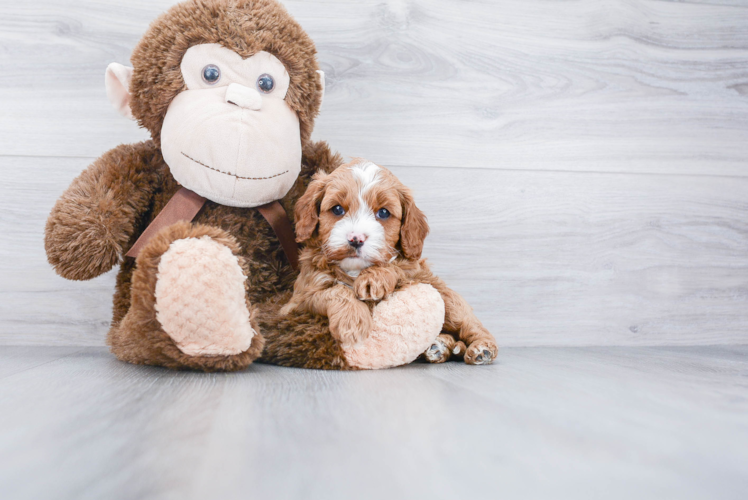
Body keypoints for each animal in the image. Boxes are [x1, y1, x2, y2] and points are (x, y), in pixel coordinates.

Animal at [280, 159, 496, 364]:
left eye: (383, 213)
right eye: (337, 209)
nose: (356, 238)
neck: (354, 271)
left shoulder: (413, 271)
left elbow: (395, 267)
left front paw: (374, 279)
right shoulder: (297, 302)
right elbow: (335, 290)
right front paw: (352, 323)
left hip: (450, 303)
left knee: (471, 325)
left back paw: (481, 348)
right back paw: (439, 346)